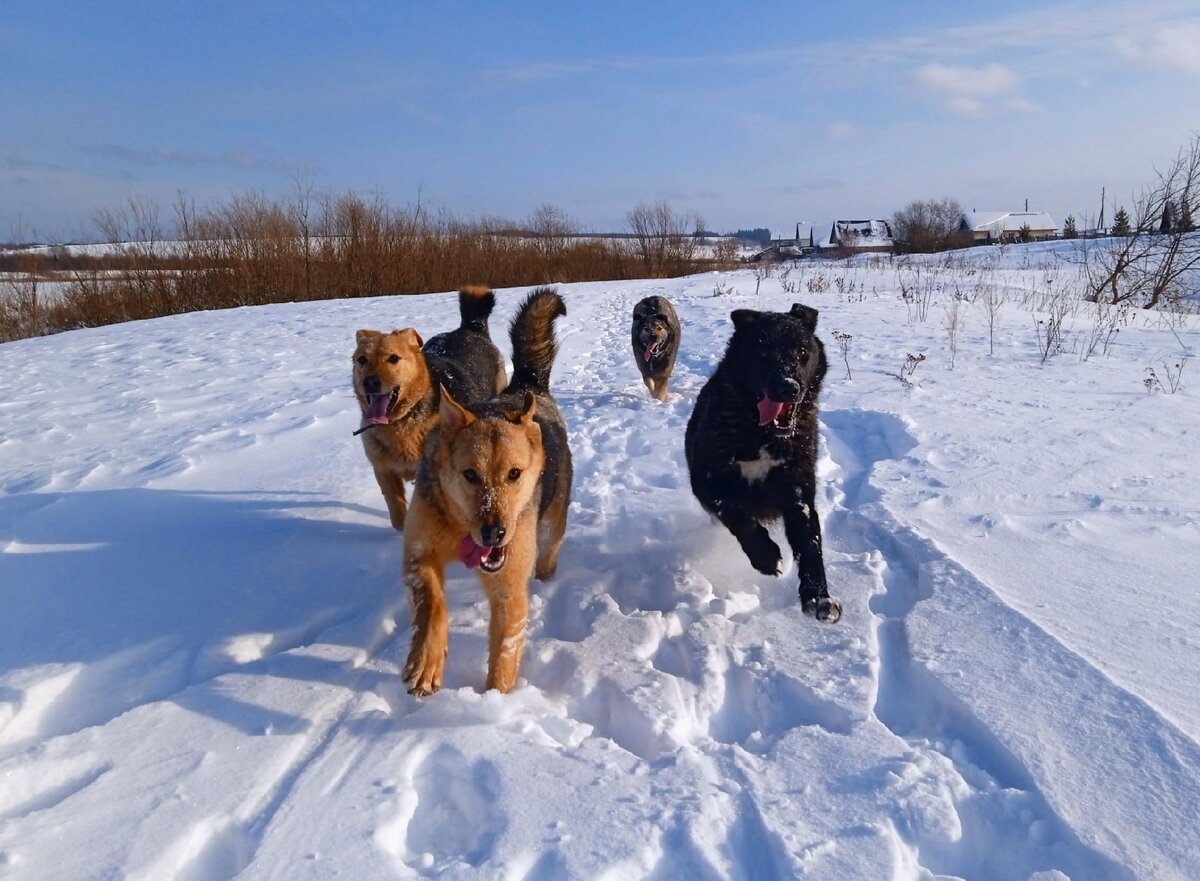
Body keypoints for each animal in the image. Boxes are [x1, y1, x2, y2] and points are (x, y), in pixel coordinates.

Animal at [352, 286, 508, 530]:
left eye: (393, 358)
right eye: (361, 360)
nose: (370, 382)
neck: (402, 420)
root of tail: (471, 327)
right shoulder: (384, 471)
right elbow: (399, 516)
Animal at [400, 290, 573, 696]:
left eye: (514, 474)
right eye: (470, 475)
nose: (494, 533)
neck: (461, 528)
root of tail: (528, 387)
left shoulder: (509, 592)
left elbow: (504, 656)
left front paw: (494, 702)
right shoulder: (418, 554)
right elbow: (432, 603)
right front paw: (426, 660)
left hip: (552, 524)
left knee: (549, 552)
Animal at [686, 307, 844, 624]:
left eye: (802, 350)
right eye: (763, 351)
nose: (788, 386)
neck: (762, 433)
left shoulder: (798, 489)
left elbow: (810, 543)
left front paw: (819, 597)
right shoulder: (707, 479)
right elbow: (736, 512)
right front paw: (766, 556)